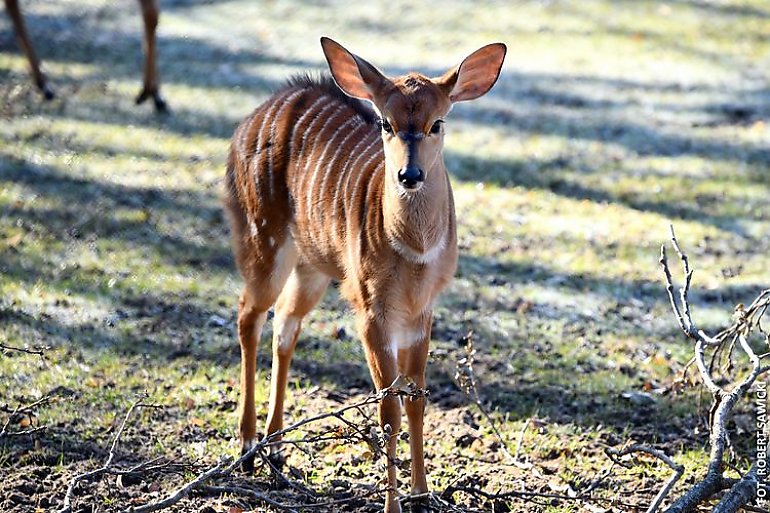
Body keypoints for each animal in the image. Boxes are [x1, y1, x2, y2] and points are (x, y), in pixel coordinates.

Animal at [3, 0, 165, 111]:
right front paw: (150, 92)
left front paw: (154, 93)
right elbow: (151, 14)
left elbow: (152, 14)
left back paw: (43, 84)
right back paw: (44, 84)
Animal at [224, 38, 504, 510]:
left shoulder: (421, 313)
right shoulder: (372, 309)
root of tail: (254, 117)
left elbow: (416, 400)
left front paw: (422, 494)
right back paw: (246, 447)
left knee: (285, 324)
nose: (410, 174)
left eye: (437, 123)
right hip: (263, 238)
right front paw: (393, 503)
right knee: (250, 315)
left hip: (313, 266)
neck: (414, 252)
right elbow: (388, 408)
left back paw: (276, 449)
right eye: (386, 123)